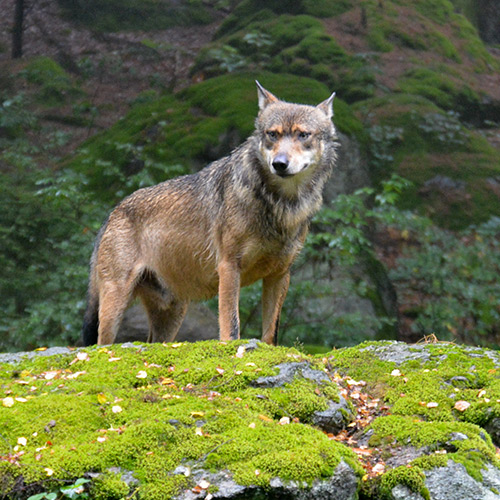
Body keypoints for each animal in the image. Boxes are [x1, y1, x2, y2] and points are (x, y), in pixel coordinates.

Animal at [83, 83, 340, 348]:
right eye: (273, 134)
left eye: (303, 135)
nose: (279, 163)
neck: (280, 204)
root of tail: (113, 212)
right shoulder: (228, 266)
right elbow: (231, 324)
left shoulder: (279, 275)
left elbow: (271, 332)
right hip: (115, 305)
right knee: (100, 344)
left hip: (172, 315)